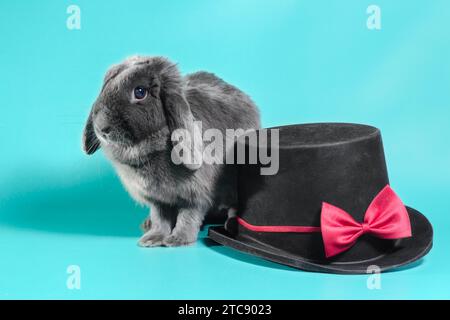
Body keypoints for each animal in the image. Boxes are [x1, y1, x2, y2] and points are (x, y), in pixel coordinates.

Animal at [81, 56, 260, 246]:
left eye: (140, 92)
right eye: (107, 85)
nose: (101, 128)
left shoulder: (195, 196)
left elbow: (188, 216)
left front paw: (178, 239)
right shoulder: (158, 200)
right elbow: (160, 218)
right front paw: (152, 238)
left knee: (234, 207)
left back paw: (230, 225)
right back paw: (147, 224)